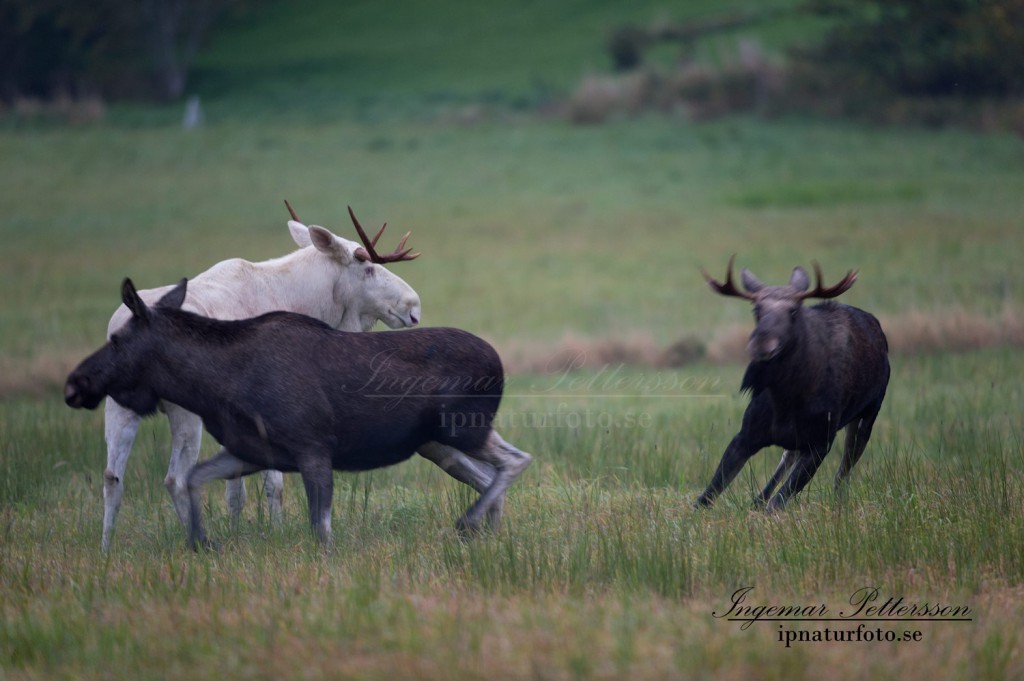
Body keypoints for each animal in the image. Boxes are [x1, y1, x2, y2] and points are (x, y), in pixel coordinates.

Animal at [65, 276, 532, 548]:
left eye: (117, 339)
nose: (74, 384)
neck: (216, 388)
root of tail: (499, 363)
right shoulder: (252, 451)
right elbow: (191, 479)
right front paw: (201, 542)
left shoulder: (313, 448)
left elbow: (320, 531)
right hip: (440, 442)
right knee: (493, 473)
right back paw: (490, 534)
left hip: (461, 427)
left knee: (516, 460)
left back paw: (469, 523)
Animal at [696, 256, 888, 509]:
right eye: (756, 309)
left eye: (794, 310)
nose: (761, 343)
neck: (786, 401)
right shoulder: (746, 434)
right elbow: (707, 494)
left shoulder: (821, 441)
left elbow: (778, 502)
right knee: (788, 458)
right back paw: (757, 499)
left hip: (868, 414)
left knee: (843, 469)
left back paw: (838, 500)